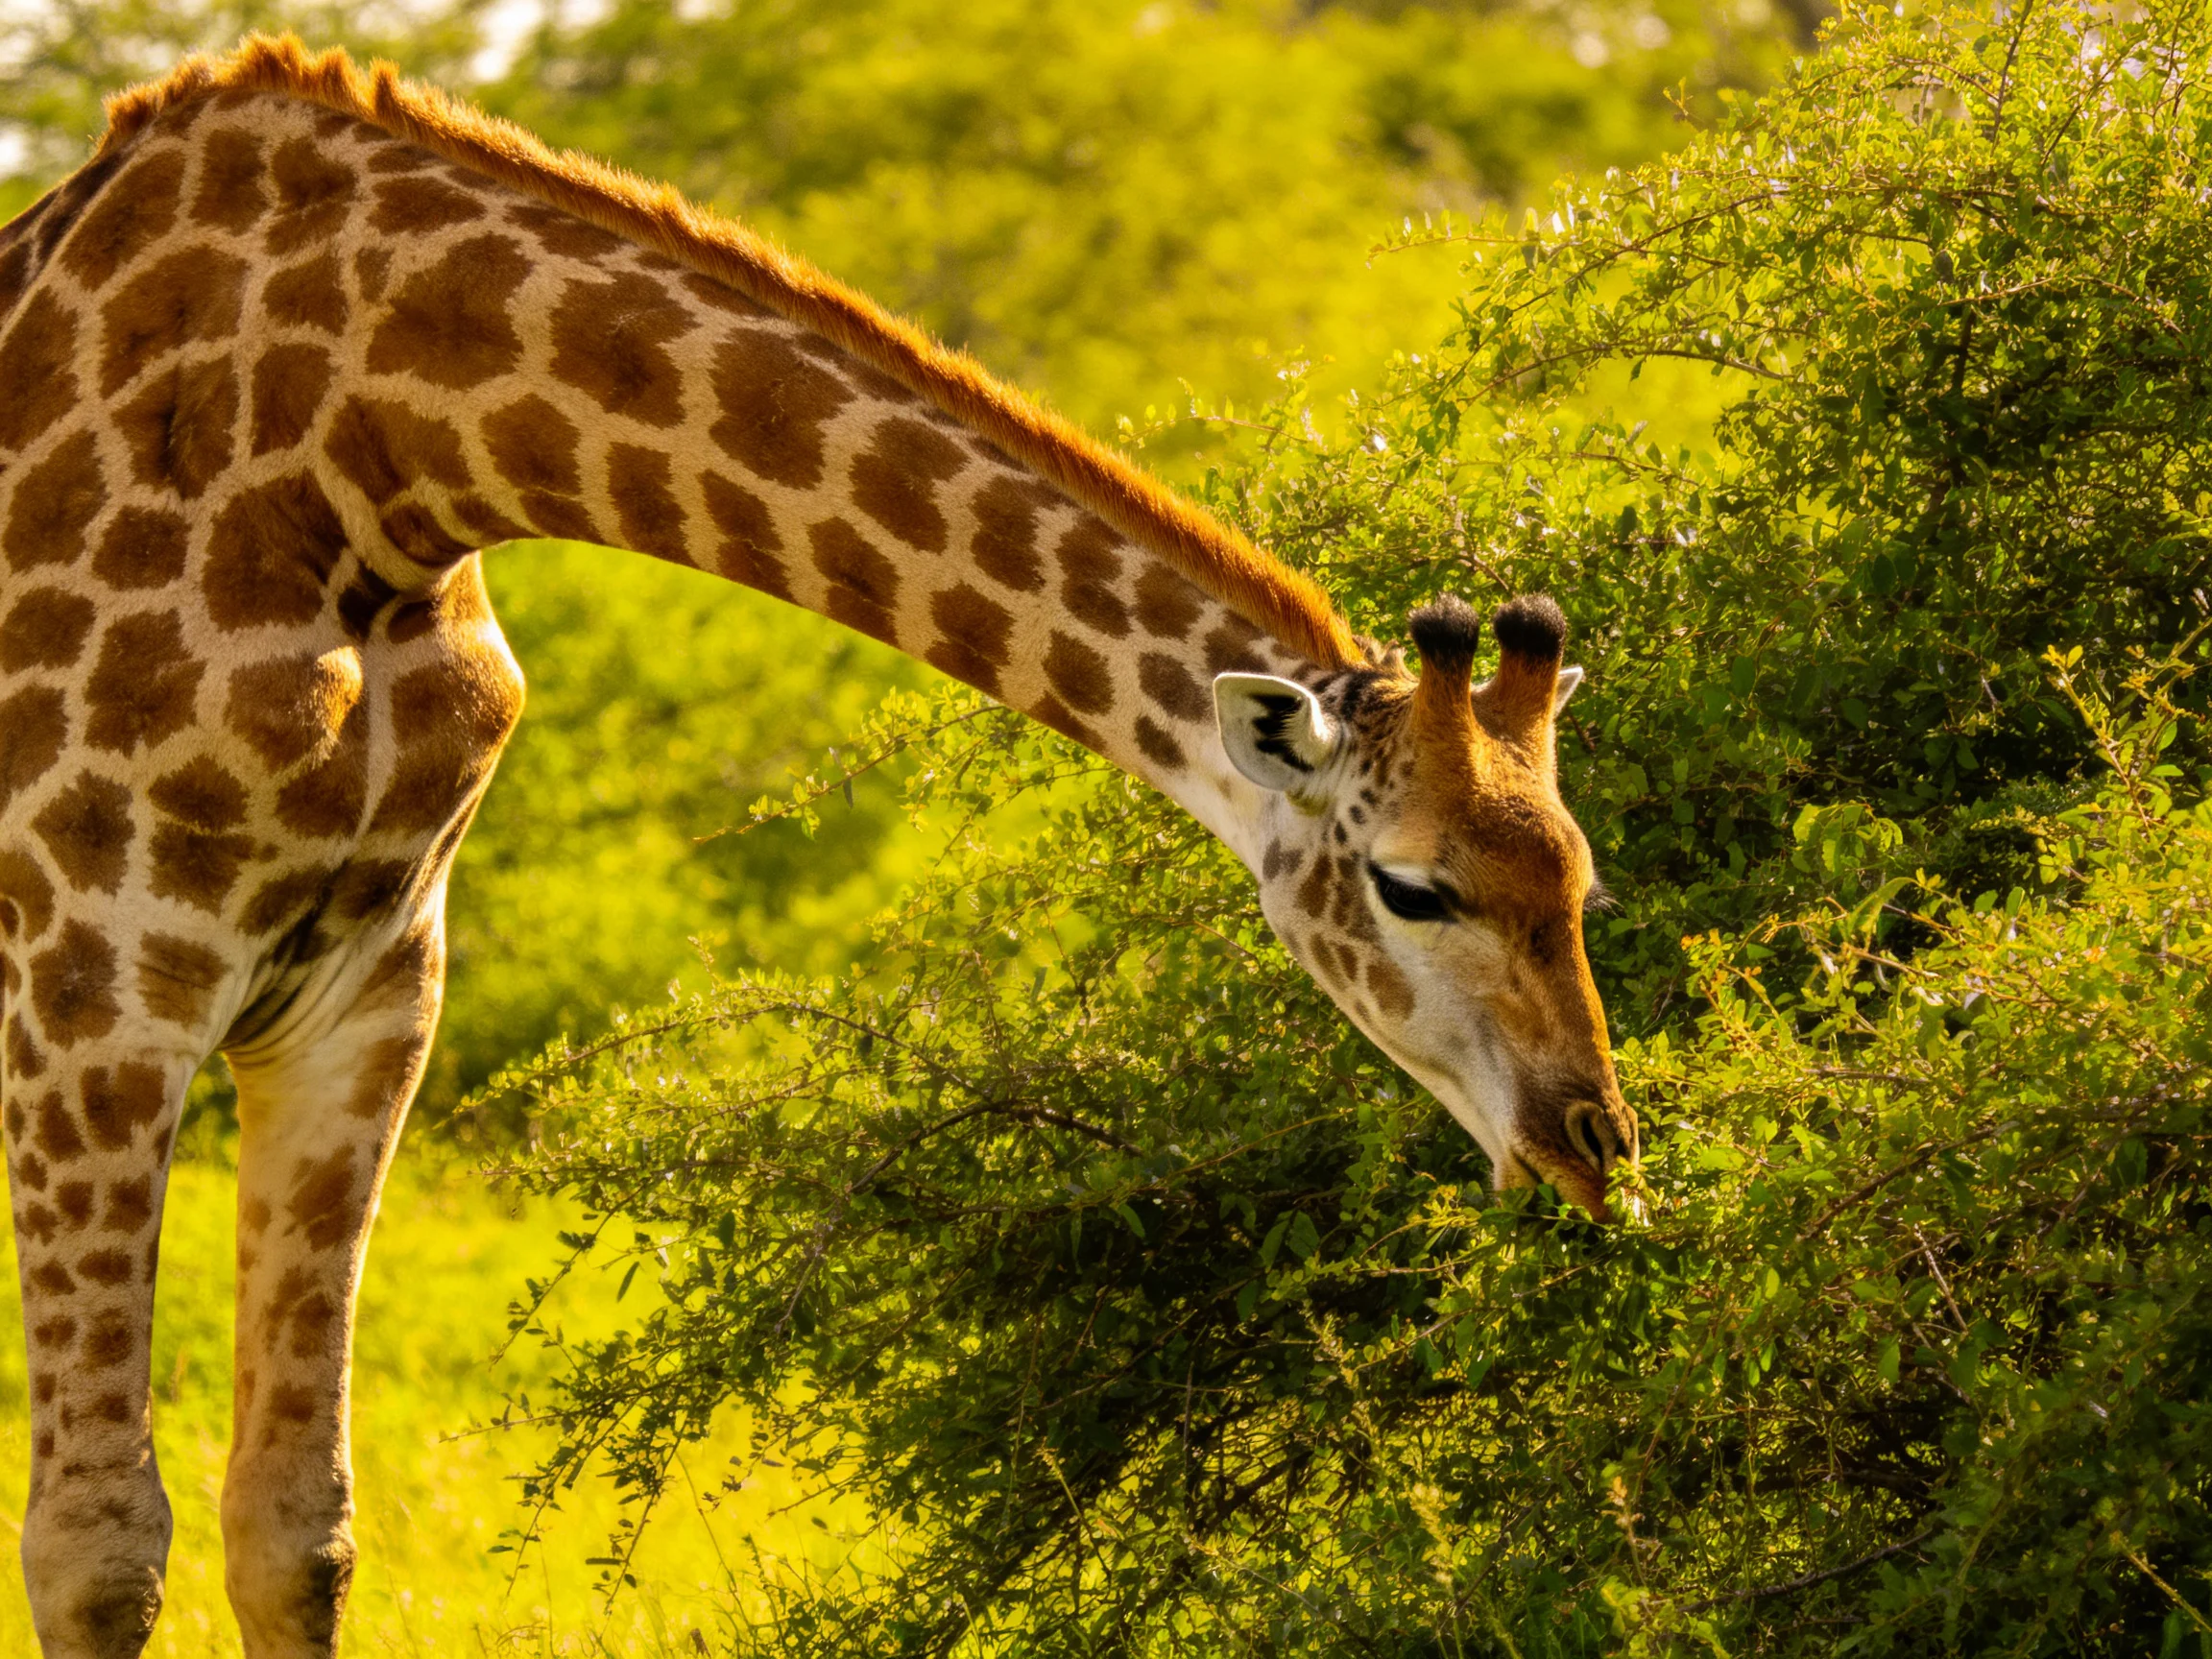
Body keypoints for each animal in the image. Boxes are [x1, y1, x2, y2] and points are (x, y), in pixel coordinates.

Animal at [0, 35, 1637, 1658]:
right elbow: (94, 1554)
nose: (1596, 1140)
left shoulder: (366, 991)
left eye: (1580, 877)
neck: (370, 447)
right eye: (1412, 888)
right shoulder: (93, 993)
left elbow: (296, 1532)